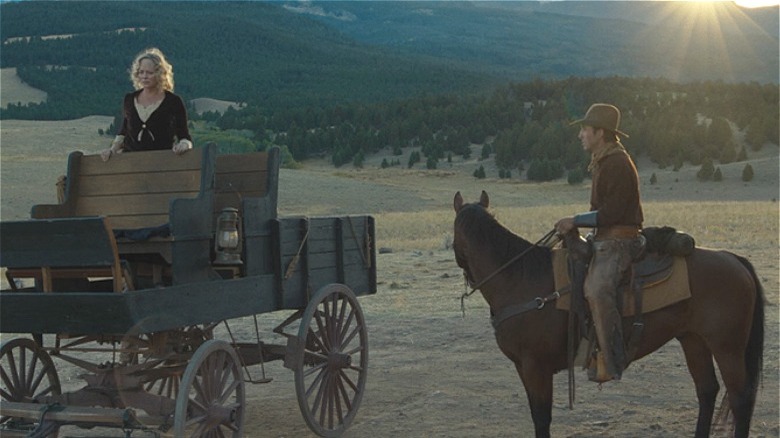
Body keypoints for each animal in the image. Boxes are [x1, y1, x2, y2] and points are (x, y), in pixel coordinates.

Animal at [454, 192, 764, 438]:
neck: (519, 280)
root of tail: (733, 258)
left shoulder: (535, 366)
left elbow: (542, 419)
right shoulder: (523, 366)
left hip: (727, 347)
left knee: (740, 398)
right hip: (693, 339)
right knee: (707, 390)